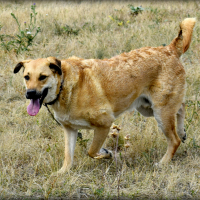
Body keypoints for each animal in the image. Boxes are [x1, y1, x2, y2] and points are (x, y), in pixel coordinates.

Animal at [13, 18, 195, 173]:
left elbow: (92, 150)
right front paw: (63, 173)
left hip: (160, 112)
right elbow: (68, 155)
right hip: (149, 108)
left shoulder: (104, 124)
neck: (64, 86)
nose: (29, 94)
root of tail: (170, 49)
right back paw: (182, 131)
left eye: (42, 77)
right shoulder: (70, 130)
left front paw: (106, 153)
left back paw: (164, 162)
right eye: (27, 77)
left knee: (174, 140)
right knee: (181, 107)